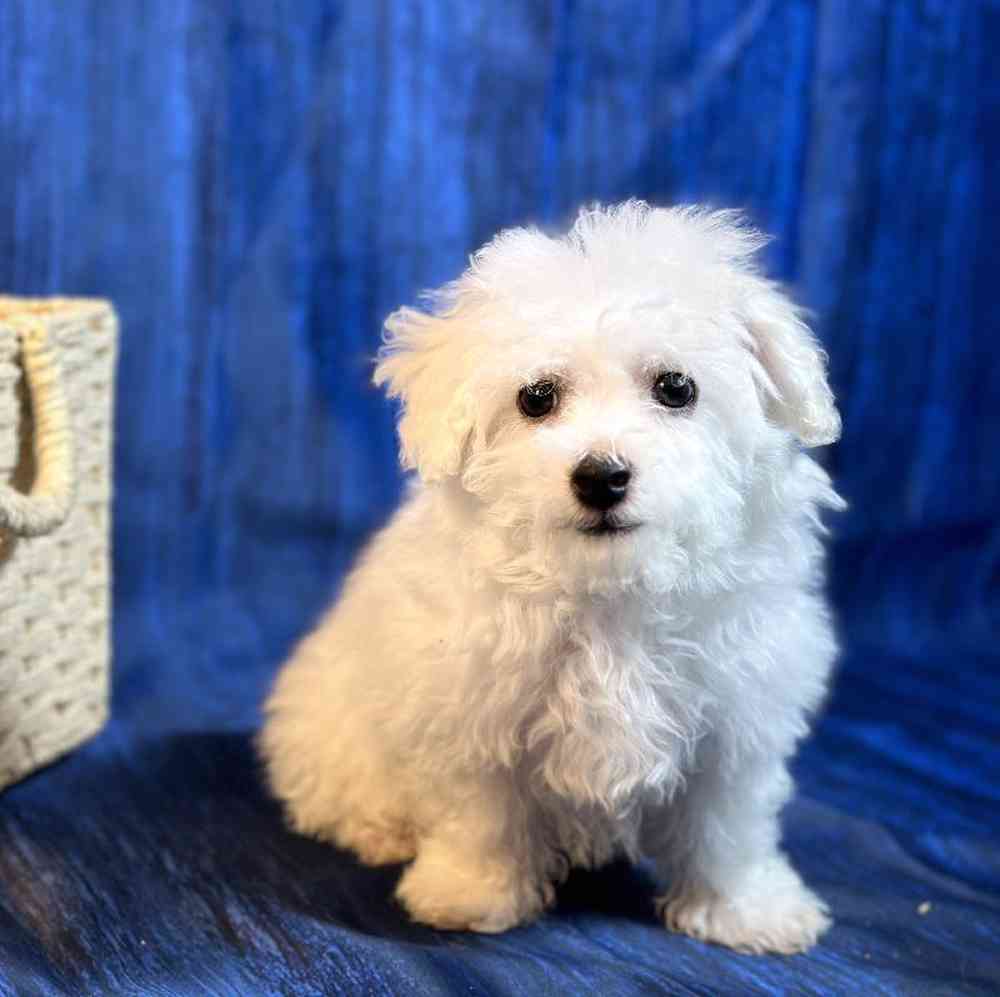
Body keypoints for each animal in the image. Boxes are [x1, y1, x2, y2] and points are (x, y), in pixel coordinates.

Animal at [260, 198, 844, 952]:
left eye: (676, 388)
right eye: (536, 398)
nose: (601, 476)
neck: (607, 588)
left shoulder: (735, 713)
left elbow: (728, 823)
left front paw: (745, 909)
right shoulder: (474, 707)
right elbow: (480, 814)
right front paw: (471, 894)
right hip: (334, 724)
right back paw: (381, 831)